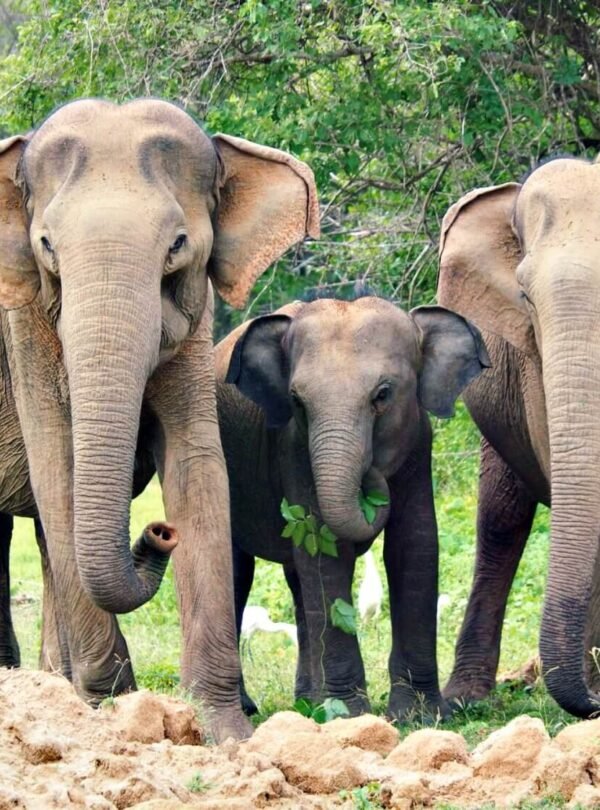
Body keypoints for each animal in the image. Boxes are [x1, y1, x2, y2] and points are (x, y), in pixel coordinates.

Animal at [0, 98, 318, 742]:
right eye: (46, 245)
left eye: (177, 244)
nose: (157, 533)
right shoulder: (23, 326)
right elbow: (56, 465)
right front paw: (107, 709)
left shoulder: (198, 321)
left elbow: (198, 462)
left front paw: (224, 732)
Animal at [215, 295, 489, 719]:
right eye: (296, 401)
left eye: (383, 394)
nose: (372, 476)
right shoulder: (293, 448)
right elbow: (324, 549)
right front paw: (348, 714)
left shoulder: (418, 441)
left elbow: (415, 544)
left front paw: (420, 715)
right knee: (238, 570)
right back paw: (255, 707)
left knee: (298, 583)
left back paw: (307, 701)